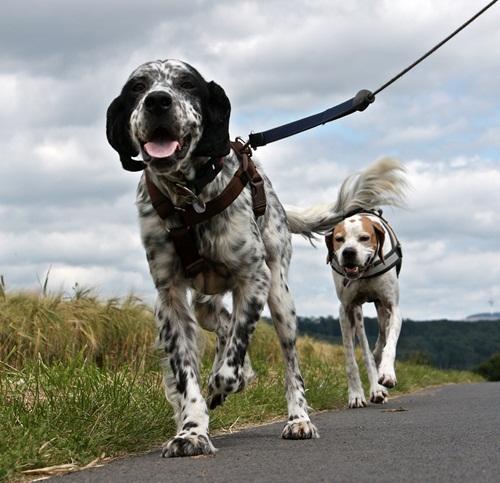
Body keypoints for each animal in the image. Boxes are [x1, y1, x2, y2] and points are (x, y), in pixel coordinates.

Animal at [105, 59, 406, 458]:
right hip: (204, 303)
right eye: (137, 87)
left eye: (187, 84)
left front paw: (224, 386)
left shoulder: (254, 279)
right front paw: (191, 430)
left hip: (280, 298)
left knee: (288, 366)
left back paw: (298, 419)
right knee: (222, 324)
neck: (189, 200)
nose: (157, 101)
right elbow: (187, 376)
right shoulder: (169, 298)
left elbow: (229, 368)